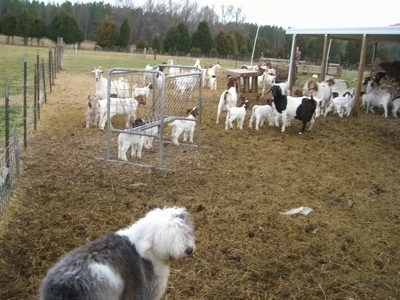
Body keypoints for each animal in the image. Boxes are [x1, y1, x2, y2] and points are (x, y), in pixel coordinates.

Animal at [39, 206, 196, 300]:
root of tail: (58, 287)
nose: (189, 250)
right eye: (171, 236)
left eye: (184, 231)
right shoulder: (145, 292)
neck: (148, 250)